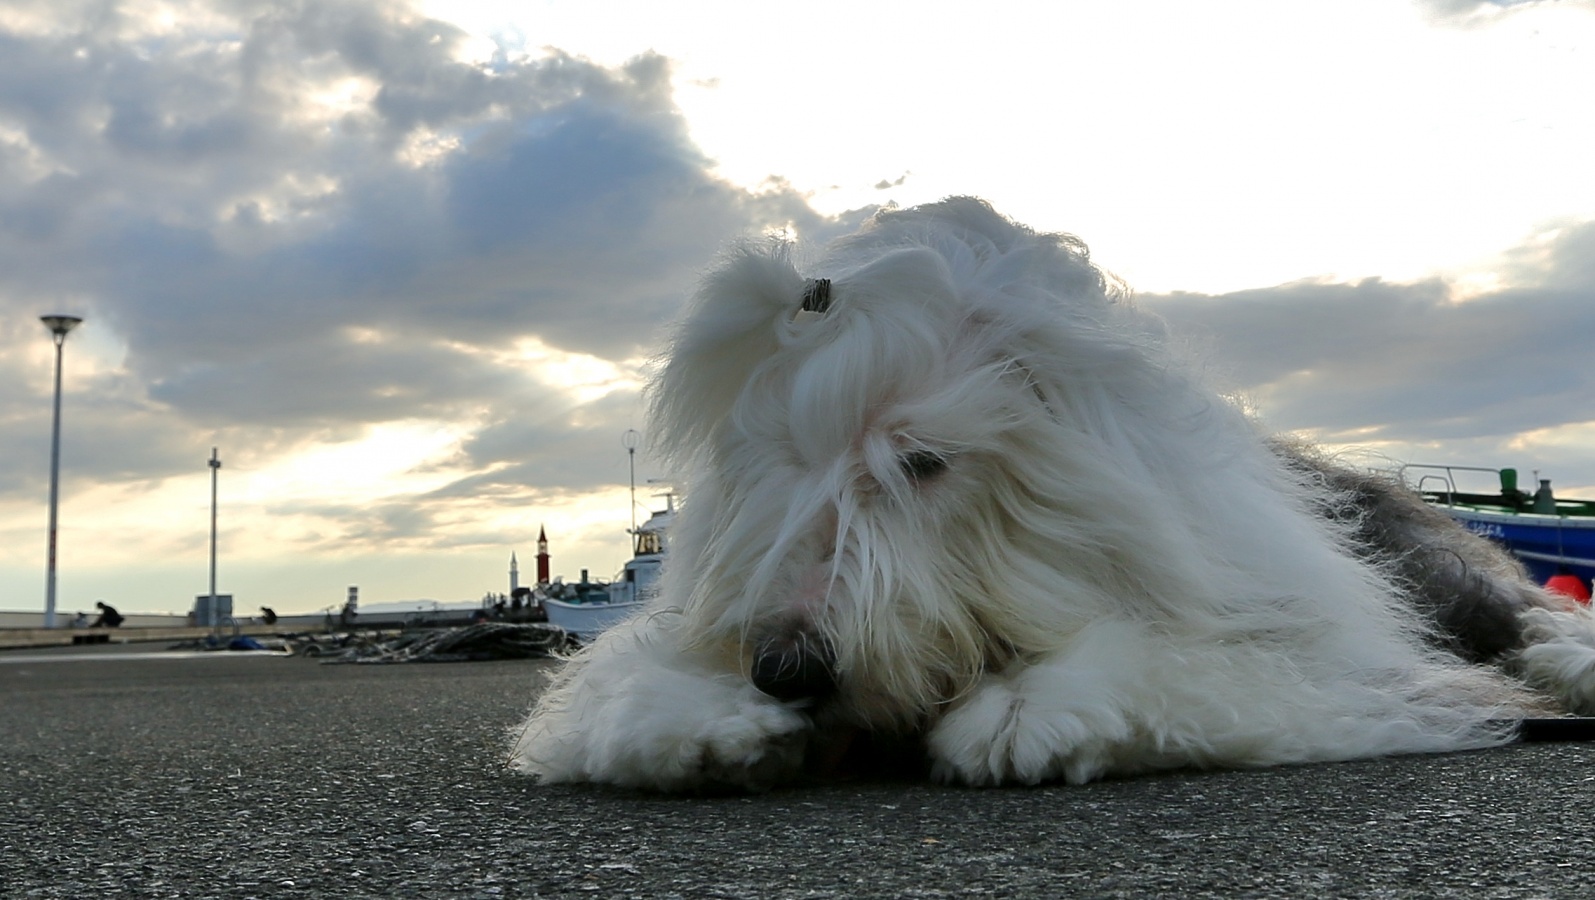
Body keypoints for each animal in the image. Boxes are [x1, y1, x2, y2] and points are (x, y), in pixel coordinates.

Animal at [510, 197, 1595, 791]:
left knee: (1530, 611)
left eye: (921, 462)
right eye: (782, 461)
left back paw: (1565, 663)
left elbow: (1199, 659)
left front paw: (1034, 708)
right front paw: (695, 720)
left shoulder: (1297, 637)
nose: (784, 669)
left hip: (1437, 564)